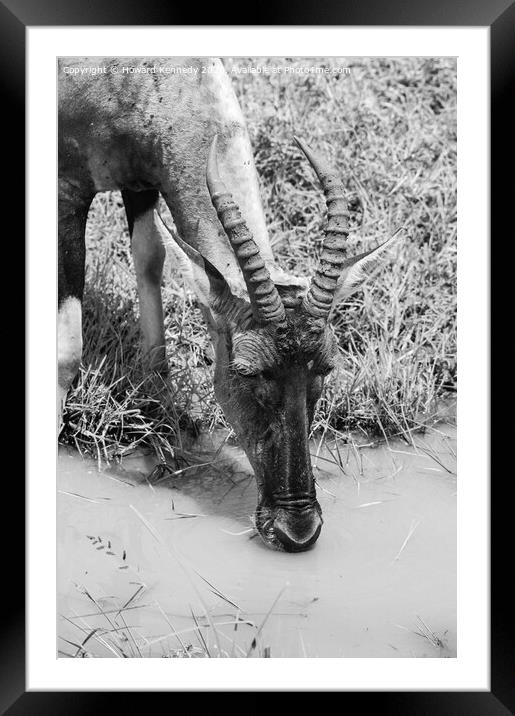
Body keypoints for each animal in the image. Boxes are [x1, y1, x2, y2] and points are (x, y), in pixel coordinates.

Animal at [58, 58, 402, 552]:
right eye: (248, 372)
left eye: (324, 369)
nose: (297, 530)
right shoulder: (66, 190)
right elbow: (67, 350)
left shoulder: (141, 181)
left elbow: (151, 257)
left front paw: (160, 397)